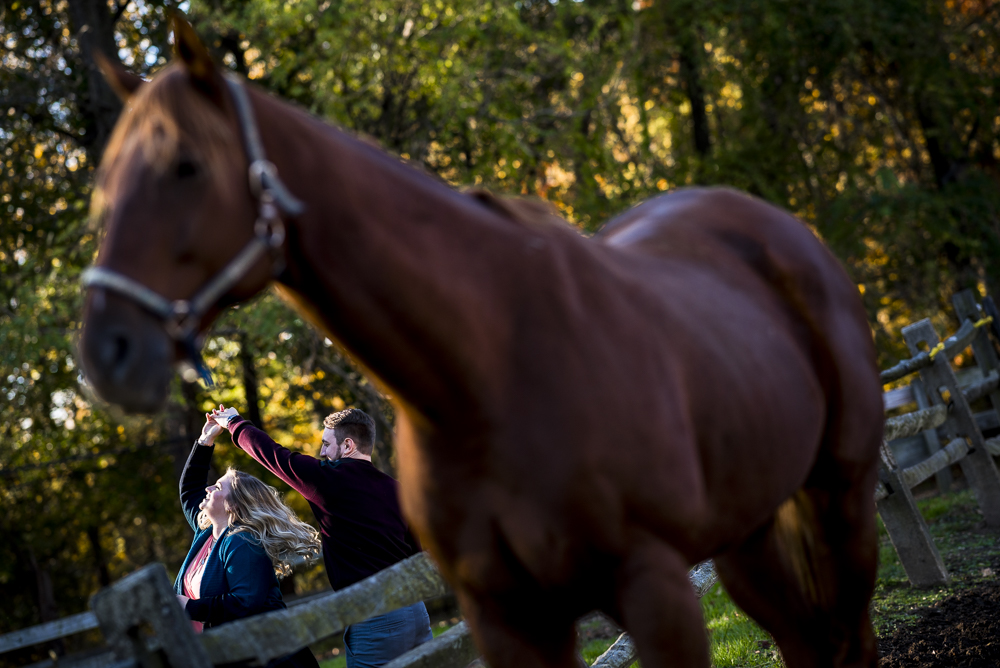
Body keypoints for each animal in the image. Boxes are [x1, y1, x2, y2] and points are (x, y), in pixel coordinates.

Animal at [80, 19, 884, 668]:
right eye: (106, 183)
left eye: (185, 165)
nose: (105, 353)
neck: (484, 368)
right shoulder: (506, 616)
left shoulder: (656, 587)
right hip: (749, 530)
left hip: (839, 496)